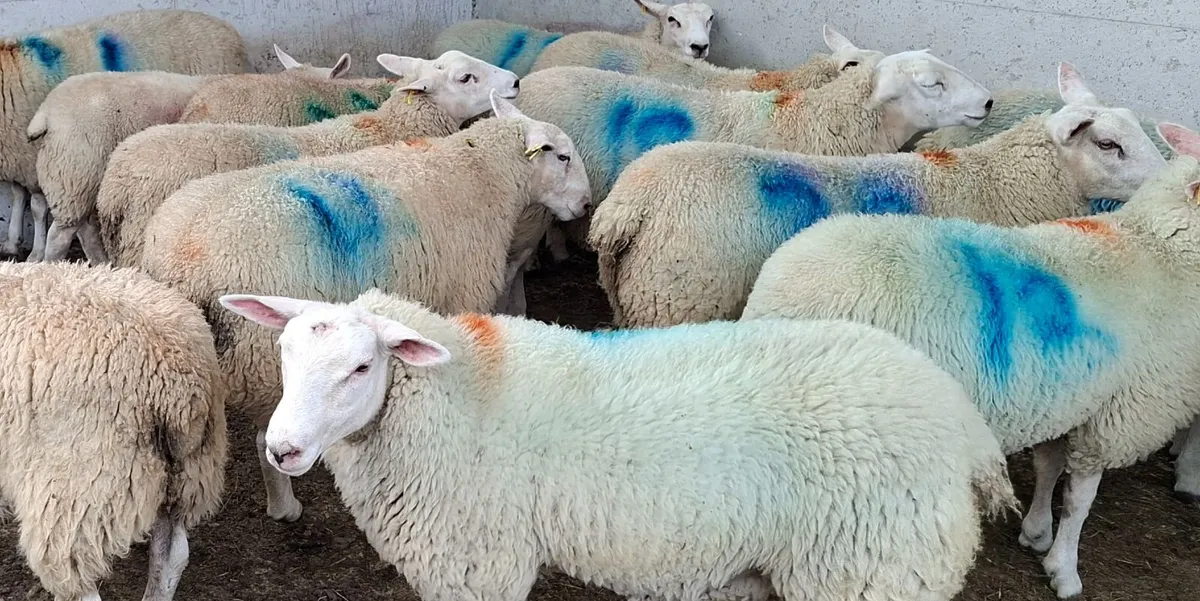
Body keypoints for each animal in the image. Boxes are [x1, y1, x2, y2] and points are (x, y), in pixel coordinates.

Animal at [0, 9, 247, 260]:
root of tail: (226, 28)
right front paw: (13, 241)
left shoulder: (32, 161)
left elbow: (36, 207)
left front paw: (34, 252)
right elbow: (18, 195)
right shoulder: (19, 156)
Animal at [136, 93, 590, 523]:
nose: (586, 205)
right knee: (271, 437)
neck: (482, 173)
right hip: (264, 359)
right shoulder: (464, 293)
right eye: (563, 157)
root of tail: (178, 260)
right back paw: (285, 506)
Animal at [217, 287, 1018, 601]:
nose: (281, 450)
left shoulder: (480, 564)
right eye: (284, 351)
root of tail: (964, 428)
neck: (461, 397)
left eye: (361, 367)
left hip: (870, 568)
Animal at [737, 123, 1200, 600]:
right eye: (1109, 145)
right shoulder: (1116, 414)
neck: (1157, 250)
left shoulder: (1069, 398)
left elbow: (1048, 468)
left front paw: (1036, 532)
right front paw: (1065, 570)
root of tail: (778, 292)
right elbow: (1078, 502)